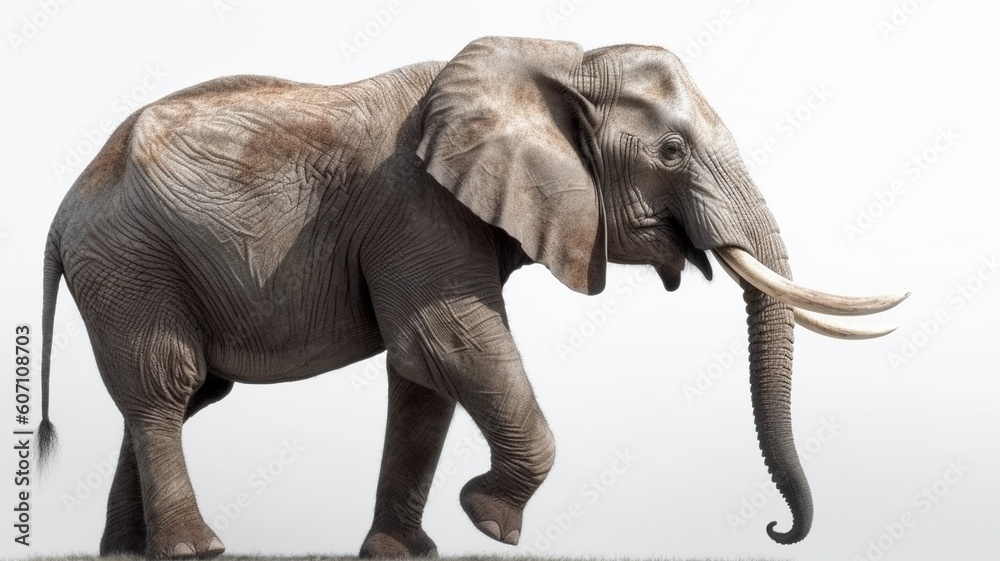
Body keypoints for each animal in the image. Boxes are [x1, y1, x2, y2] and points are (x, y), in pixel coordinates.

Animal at [37, 36, 907, 558]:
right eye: (670, 152)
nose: (776, 527)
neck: (557, 61)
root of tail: (62, 209)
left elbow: (422, 378)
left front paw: (405, 552)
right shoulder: (417, 209)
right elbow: (446, 341)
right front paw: (489, 519)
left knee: (175, 397)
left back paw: (130, 553)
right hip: (131, 261)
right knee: (167, 385)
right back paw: (196, 547)